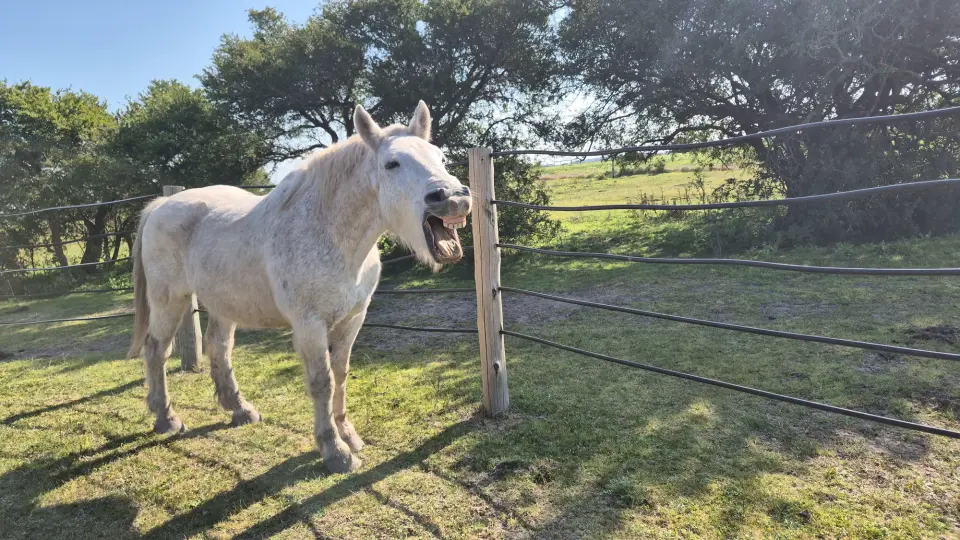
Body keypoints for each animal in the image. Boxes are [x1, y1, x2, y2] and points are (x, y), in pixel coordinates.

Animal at [127, 101, 471, 473]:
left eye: (440, 158)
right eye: (391, 164)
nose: (453, 198)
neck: (330, 234)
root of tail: (161, 206)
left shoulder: (352, 320)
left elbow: (341, 374)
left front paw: (348, 435)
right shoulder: (310, 325)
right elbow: (323, 382)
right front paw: (335, 451)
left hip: (223, 303)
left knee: (219, 347)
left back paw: (240, 409)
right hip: (169, 300)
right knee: (156, 350)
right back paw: (166, 418)